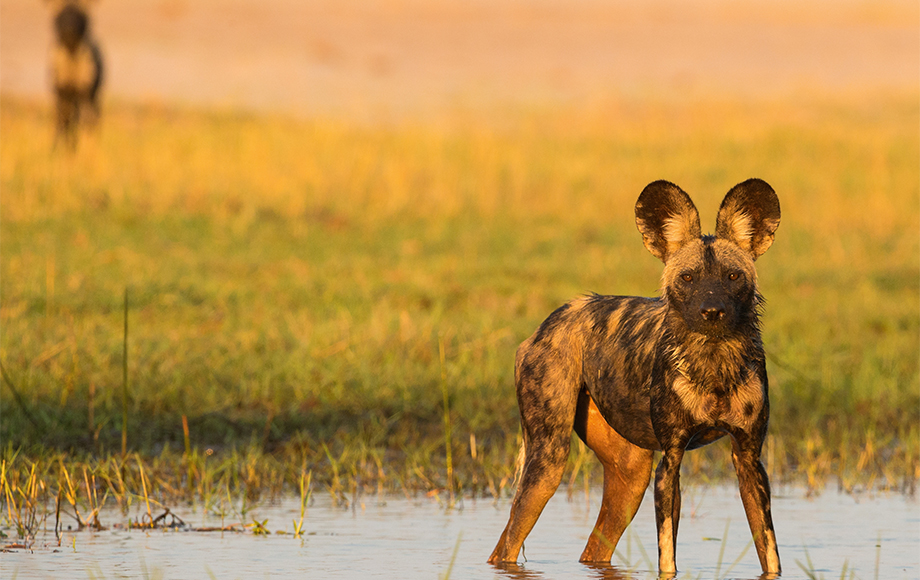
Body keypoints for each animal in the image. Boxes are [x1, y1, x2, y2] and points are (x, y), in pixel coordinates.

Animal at [488, 178, 784, 576]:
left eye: (733, 276)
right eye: (688, 278)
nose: (712, 312)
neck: (713, 365)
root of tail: (552, 319)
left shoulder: (750, 462)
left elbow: (770, 556)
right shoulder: (670, 462)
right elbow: (667, 558)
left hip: (631, 478)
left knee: (592, 551)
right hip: (548, 463)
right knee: (506, 545)